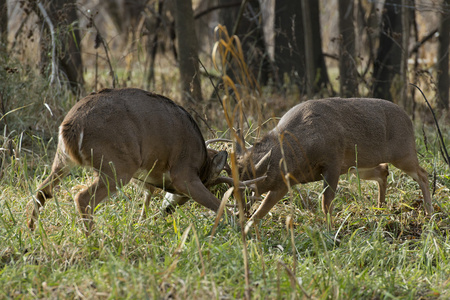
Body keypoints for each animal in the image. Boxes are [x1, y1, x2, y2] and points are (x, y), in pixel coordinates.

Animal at [27, 88, 230, 231]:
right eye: (209, 183)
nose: (168, 210)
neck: (201, 161)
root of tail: (70, 127)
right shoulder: (184, 174)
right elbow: (217, 204)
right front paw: (236, 224)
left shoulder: (144, 172)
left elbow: (148, 194)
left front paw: (142, 223)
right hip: (118, 166)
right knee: (83, 197)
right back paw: (94, 241)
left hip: (63, 160)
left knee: (43, 189)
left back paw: (32, 230)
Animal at [237, 97, 434, 226]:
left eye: (250, 187)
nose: (240, 208)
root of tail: (409, 120)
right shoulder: (285, 180)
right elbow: (263, 208)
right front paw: (246, 229)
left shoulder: (333, 161)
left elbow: (326, 201)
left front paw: (330, 229)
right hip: (359, 166)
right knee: (383, 171)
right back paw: (380, 207)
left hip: (404, 153)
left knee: (423, 175)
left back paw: (428, 213)